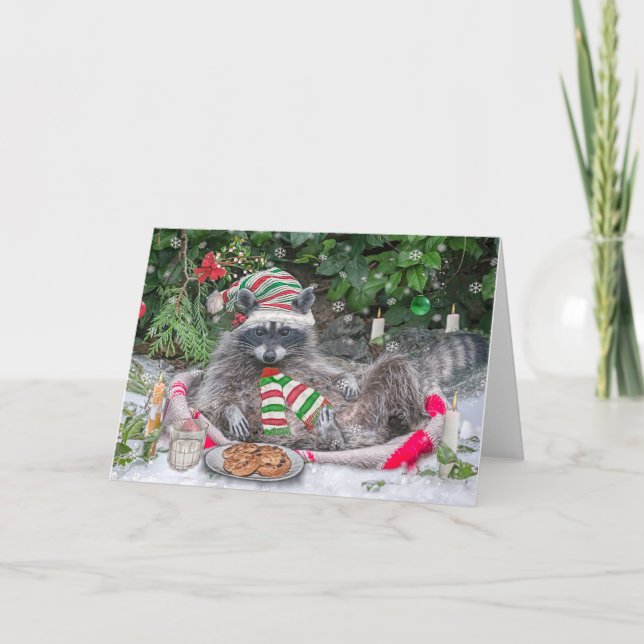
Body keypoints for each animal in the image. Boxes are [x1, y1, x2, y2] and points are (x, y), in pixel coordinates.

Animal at [192, 286, 488, 451]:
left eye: (285, 331)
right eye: (259, 331)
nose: (269, 354)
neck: (270, 364)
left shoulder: (309, 361)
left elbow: (332, 371)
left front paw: (346, 378)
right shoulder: (225, 364)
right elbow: (213, 400)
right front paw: (231, 410)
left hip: (374, 400)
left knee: (396, 367)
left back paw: (408, 419)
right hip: (281, 434)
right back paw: (332, 438)